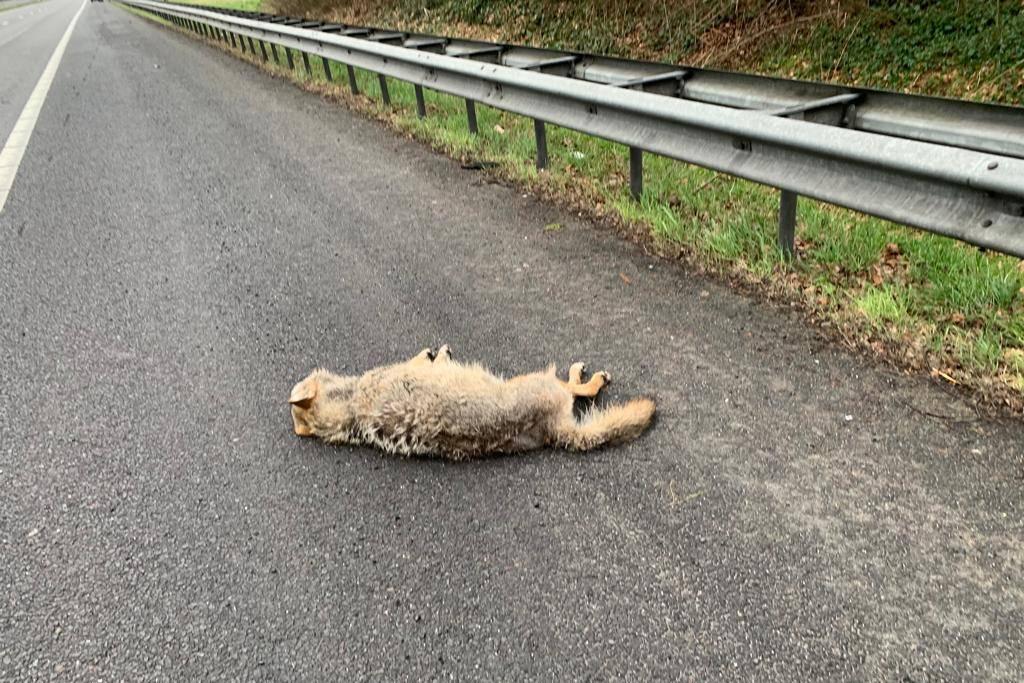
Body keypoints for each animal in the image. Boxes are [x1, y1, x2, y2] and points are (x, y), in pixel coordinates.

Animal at [288, 345, 656, 460]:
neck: (350, 408)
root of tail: (553, 430)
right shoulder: (411, 369)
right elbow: (425, 360)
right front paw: (436, 352)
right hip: (538, 381)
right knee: (579, 390)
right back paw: (587, 376)